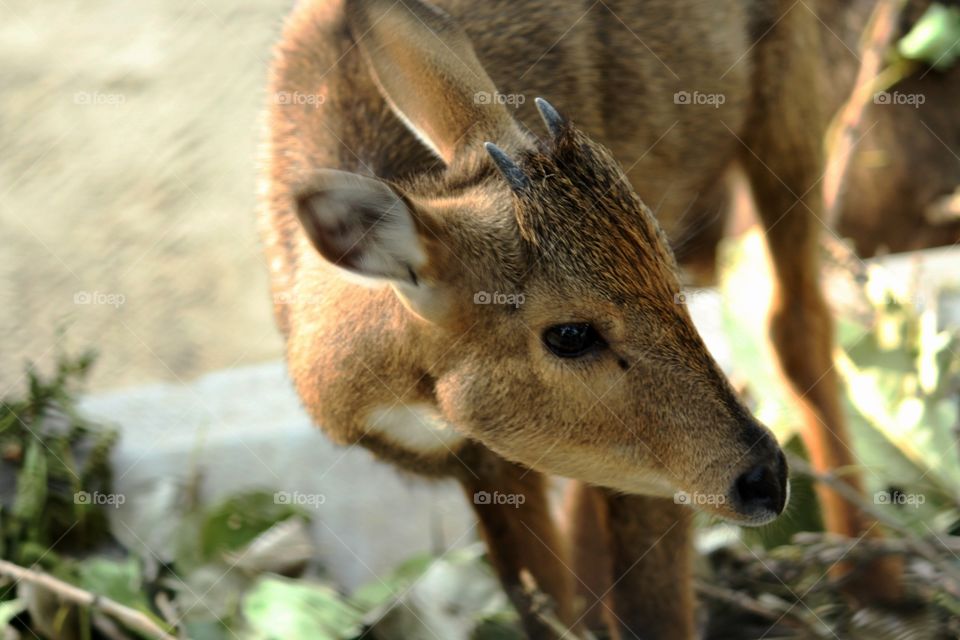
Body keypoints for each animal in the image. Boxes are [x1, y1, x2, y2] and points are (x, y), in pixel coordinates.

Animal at [259, 0, 901, 637]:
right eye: (569, 334)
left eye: (668, 271)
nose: (764, 478)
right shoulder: (496, 466)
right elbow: (542, 605)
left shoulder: (647, 474)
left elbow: (651, 613)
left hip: (789, 88)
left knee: (794, 317)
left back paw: (872, 580)